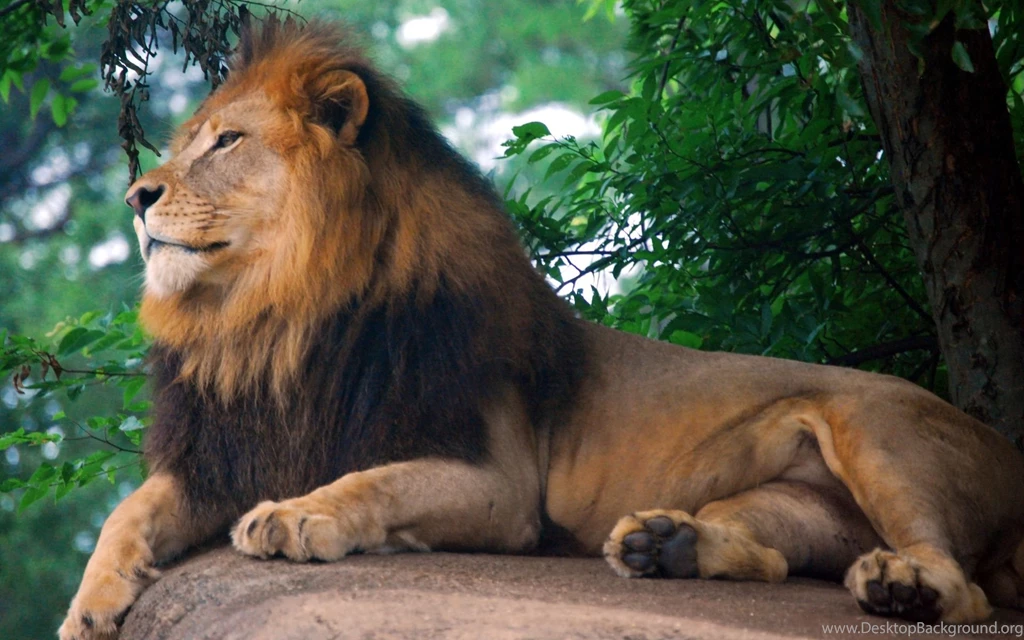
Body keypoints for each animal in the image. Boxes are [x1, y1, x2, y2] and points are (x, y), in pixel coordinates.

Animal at [59, 19, 1024, 640]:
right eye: (187, 140)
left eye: (226, 141)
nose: (137, 195)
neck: (276, 316)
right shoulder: (226, 454)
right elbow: (129, 512)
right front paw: (91, 604)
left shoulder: (501, 483)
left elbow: (374, 482)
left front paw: (298, 516)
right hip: (792, 502)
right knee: (778, 562)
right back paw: (665, 545)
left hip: (875, 431)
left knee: (965, 585)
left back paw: (902, 586)